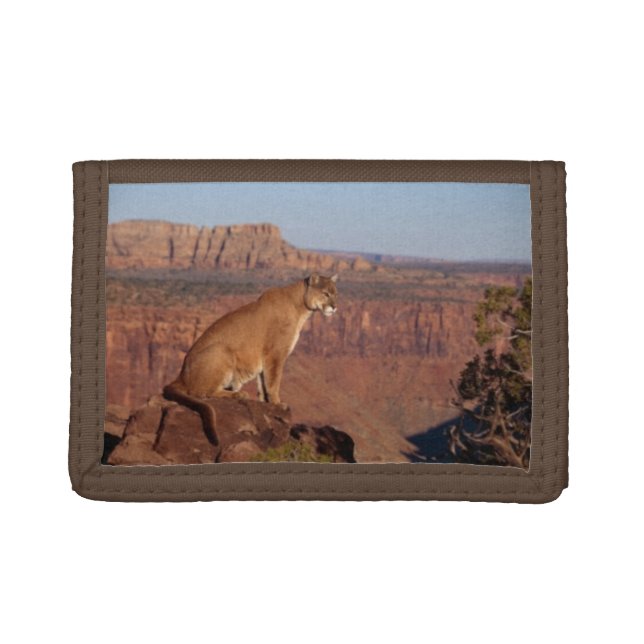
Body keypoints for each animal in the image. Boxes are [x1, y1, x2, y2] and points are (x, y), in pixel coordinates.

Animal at [163, 273, 338, 445]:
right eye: (326, 294)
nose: (335, 307)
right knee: (201, 393)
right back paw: (238, 394)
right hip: (221, 351)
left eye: (335, 293)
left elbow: (263, 384)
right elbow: (274, 382)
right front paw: (277, 403)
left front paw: (265, 403)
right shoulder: (275, 354)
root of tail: (181, 375)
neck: (300, 305)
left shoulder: (264, 359)